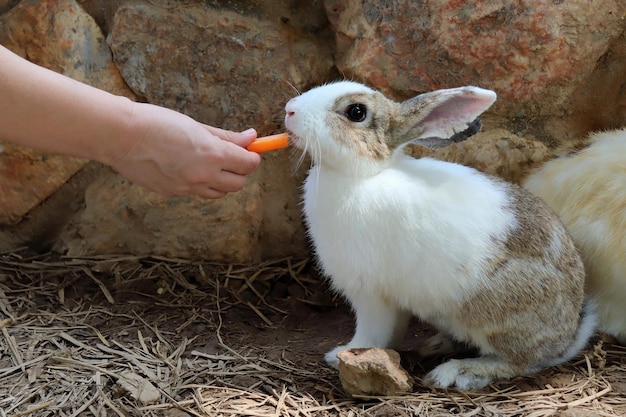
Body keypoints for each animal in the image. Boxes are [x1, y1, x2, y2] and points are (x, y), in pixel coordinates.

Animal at [284, 81, 596, 390]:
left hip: (495, 313)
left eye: (356, 112)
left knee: (522, 361)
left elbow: (372, 332)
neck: (362, 175)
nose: (290, 110)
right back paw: (436, 345)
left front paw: (343, 354)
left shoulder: (369, 291)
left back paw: (456, 372)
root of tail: (567, 335)